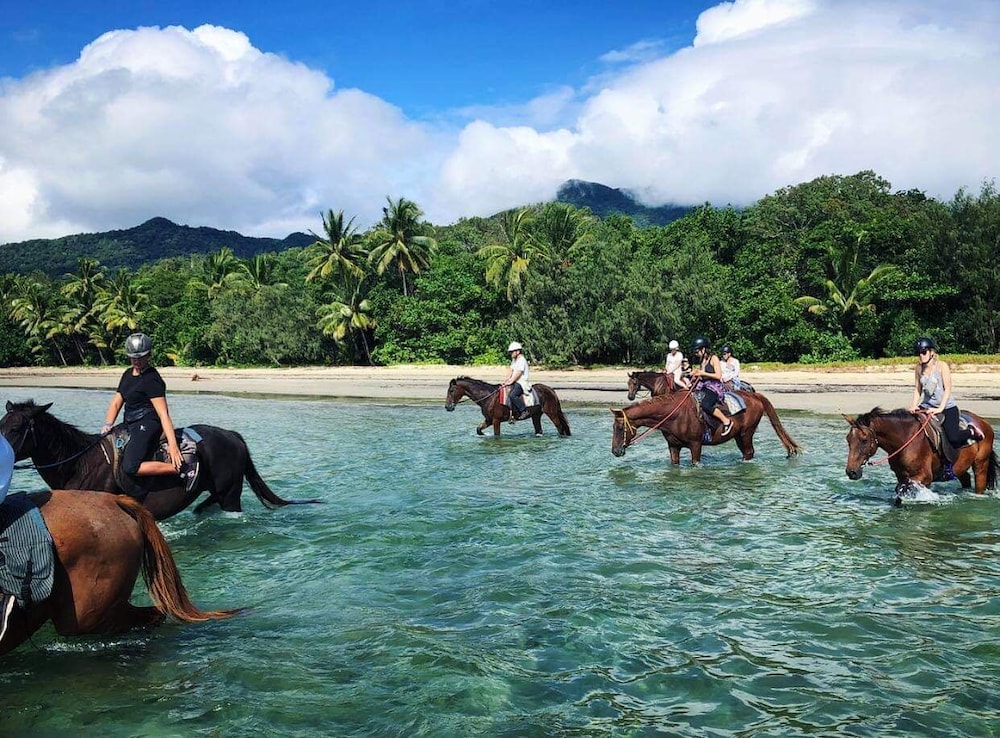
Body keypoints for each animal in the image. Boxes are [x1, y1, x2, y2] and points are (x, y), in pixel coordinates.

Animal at [604, 388, 800, 462]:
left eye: (620, 428)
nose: (615, 451)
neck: (674, 414)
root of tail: (755, 396)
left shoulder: (696, 445)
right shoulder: (673, 446)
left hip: (746, 434)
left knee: (749, 453)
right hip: (739, 436)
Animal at [840, 406, 996, 504]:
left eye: (864, 440)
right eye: (848, 439)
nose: (851, 472)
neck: (905, 439)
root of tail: (984, 423)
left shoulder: (924, 478)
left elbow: (903, 491)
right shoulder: (902, 476)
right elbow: (899, 493)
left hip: (981, 465)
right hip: (959, 467)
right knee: (966, 479)